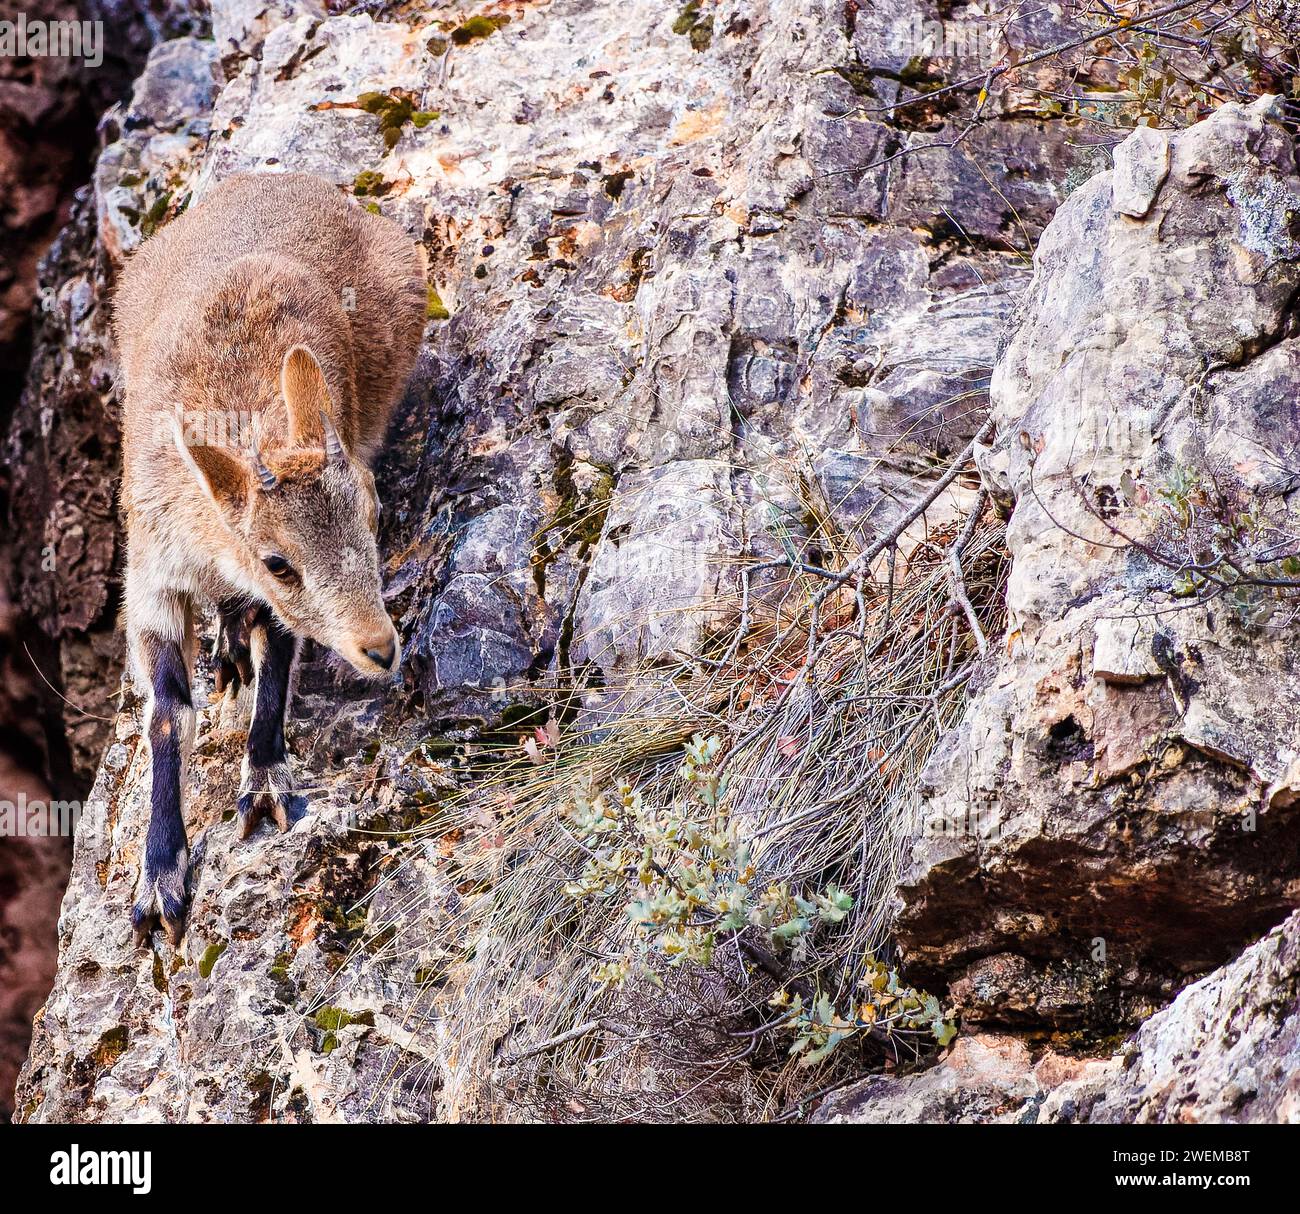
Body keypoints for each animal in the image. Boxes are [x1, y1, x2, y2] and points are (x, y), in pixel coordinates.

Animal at [114, 172, 426, 945]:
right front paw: (159, 876)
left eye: (374, 514)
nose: (380, 648)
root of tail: (290, 181)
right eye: (279, 561)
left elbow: (280, 652)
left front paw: (264, 781)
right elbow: (168, 712)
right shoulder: (152, 575)